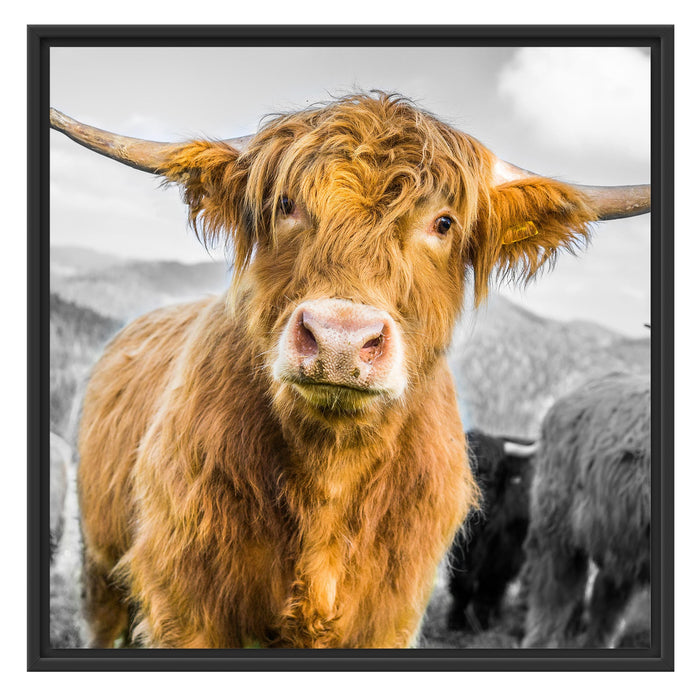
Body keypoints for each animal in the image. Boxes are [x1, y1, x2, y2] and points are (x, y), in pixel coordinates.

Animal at [447, 430, 535, 633]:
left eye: (492, 475)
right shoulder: (460, 548)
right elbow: (461, 582)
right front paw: (455, 620)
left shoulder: (507, 552)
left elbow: (490, 586)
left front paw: (481, 622)